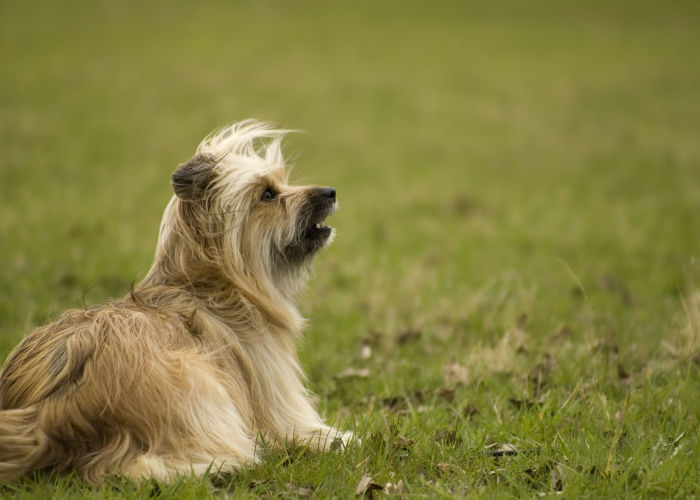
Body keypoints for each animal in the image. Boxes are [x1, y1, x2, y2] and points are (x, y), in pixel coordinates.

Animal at [0, 119, 350, 482]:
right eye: (268, 193)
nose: (330, 192)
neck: (214, 286)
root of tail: (46, 416)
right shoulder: (275, 399)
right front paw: (334, 439)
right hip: (194, 377)